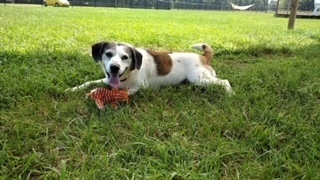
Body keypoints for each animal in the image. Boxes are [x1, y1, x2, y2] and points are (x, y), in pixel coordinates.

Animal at [67, 41, 232, 95]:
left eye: (125, 57)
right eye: (108, 54)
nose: (114, 67)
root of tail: (203, 57)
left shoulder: (138, 87)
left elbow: (116, 92)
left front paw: (96, 92)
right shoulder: (108, 79)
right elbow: (89, 82)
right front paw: (72, 89)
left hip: (200, 78)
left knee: (225, 81)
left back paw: (230, 93)